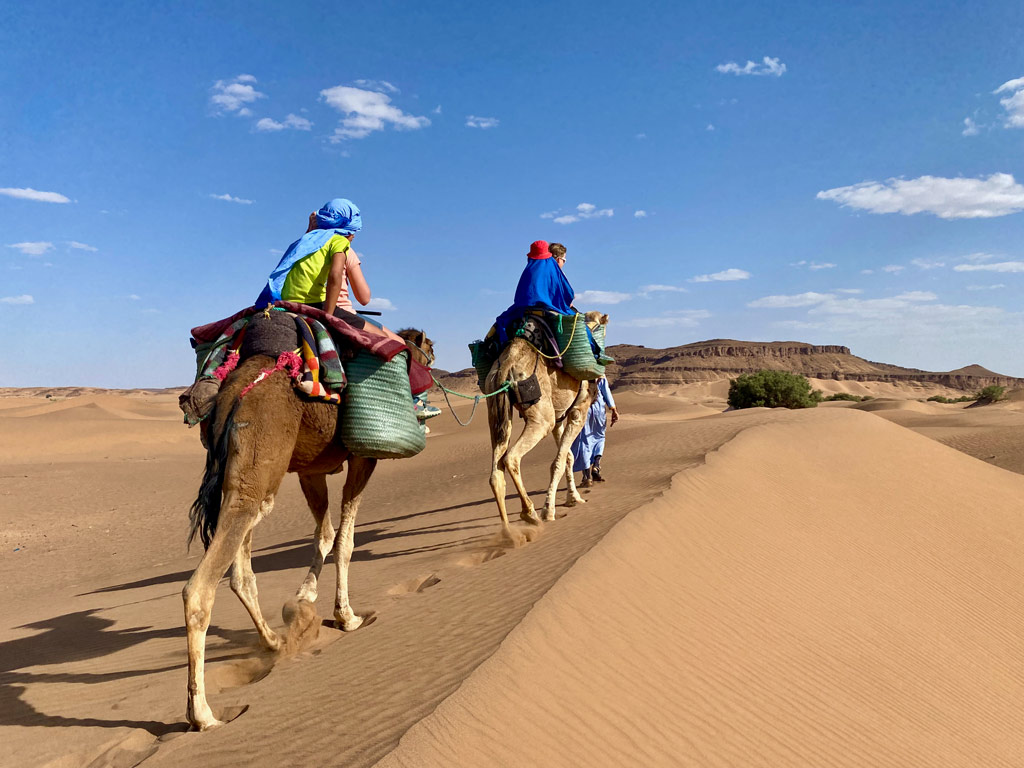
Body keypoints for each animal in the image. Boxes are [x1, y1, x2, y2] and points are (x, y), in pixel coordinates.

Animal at [182, 329, 430, 733]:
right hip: (258, 466)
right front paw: (346, 616)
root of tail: (234, 393)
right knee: (199, 588)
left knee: (241, 571)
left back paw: (274, 641)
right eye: (427, 352)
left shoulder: (312, 470)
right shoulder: (362, 458)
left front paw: (304, 599)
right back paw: (202, 713)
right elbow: (345, 539)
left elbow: (325, 534)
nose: (429, 371)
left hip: (244, 478)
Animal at [481, 309, 606, 536]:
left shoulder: (559, 417)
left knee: (495, 471)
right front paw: (549, 510)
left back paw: (508, 532)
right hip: (540, 417)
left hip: (495, 409)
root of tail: (505, 367)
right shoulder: (578, 412)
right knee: (511, 457)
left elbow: (568, 457)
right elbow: (559, 460)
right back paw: (530, 514)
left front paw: (573, 498)